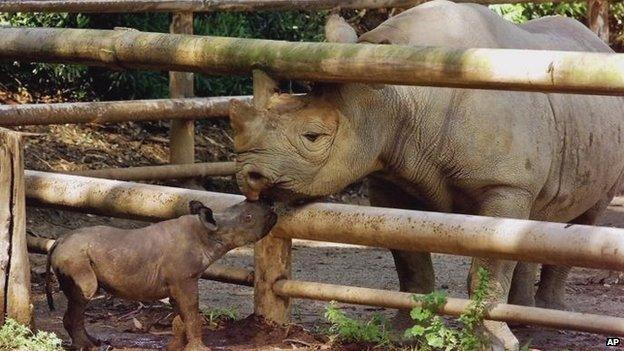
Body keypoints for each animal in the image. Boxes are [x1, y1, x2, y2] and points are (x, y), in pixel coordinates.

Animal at [46, 199, 276, 350]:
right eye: (248, 218)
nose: (272, 209)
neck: (208, 233)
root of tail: (58, 241)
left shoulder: (179, 282)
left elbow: (181, 315)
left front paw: (175, 347)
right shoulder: (185, 279)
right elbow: (192, 312)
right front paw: (199, 349)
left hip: (73, 254)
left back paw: (96, 343)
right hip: (74, 256)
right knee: (85, 292)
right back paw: (89, 347)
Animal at [229, 1, 624, 350]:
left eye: (313, 137)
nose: (248, 175)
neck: (399, 96)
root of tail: (600, 46)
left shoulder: (506, 184)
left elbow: (490, 263)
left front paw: (494, 342)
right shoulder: (389, 173)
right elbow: (409, 258)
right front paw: (401, 332)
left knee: (584, 218)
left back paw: (548, 319)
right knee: (538, 220)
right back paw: (526, 320)